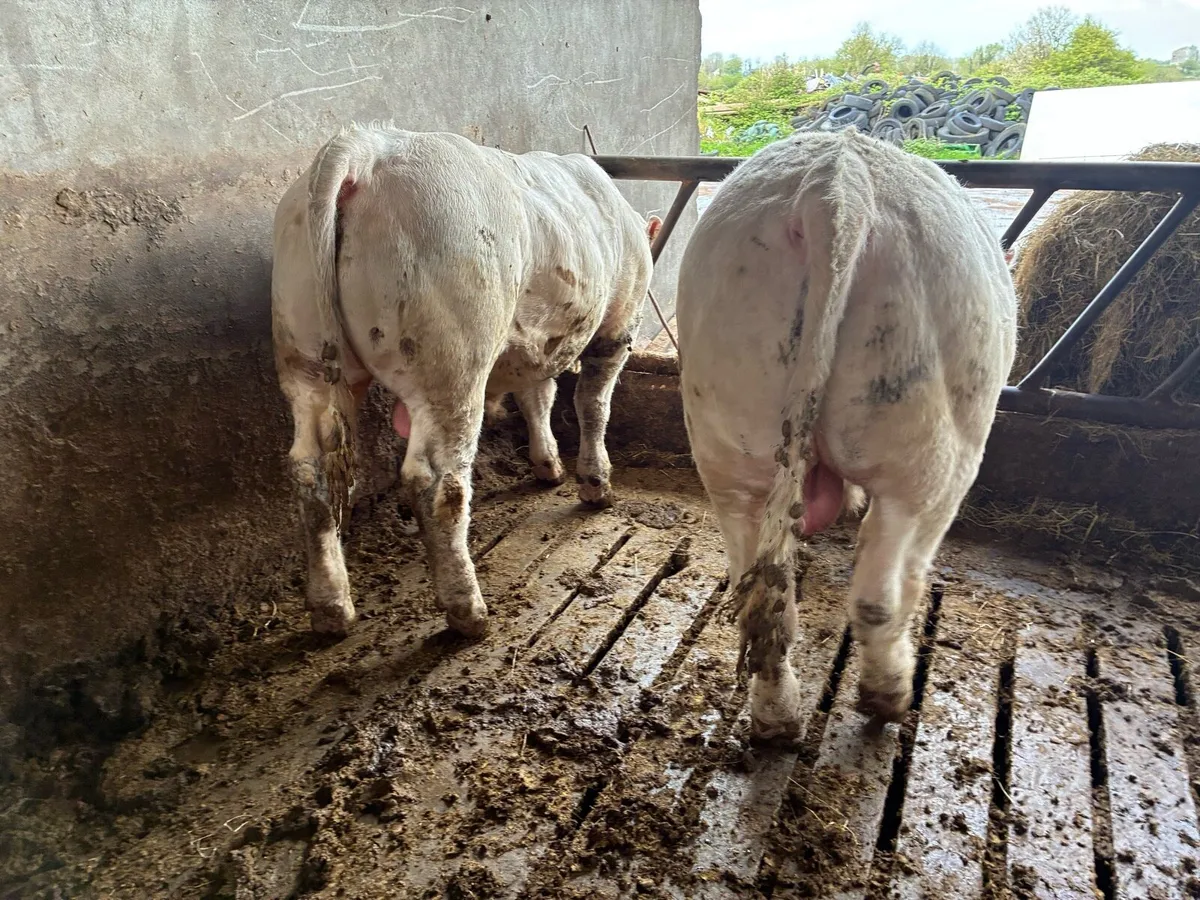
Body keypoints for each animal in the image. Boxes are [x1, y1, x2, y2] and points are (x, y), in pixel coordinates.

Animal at [272, 123, 661, 639]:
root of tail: (364, 148)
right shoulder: (617, 326)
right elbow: (592, 405)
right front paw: (595, 484)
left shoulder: (531, 345)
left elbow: (538, 397)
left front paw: (548, 466)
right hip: (452, 360)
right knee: (436, 481)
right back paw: (467, 611)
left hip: (305, 354)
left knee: (308, 471)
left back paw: (332, 610)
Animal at [676, 129, 1017, 740]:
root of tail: (836, 188)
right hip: (928, 450)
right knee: (880, 597)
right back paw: (888, 695)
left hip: (725, 438)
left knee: (760, 600)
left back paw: (776, 718)